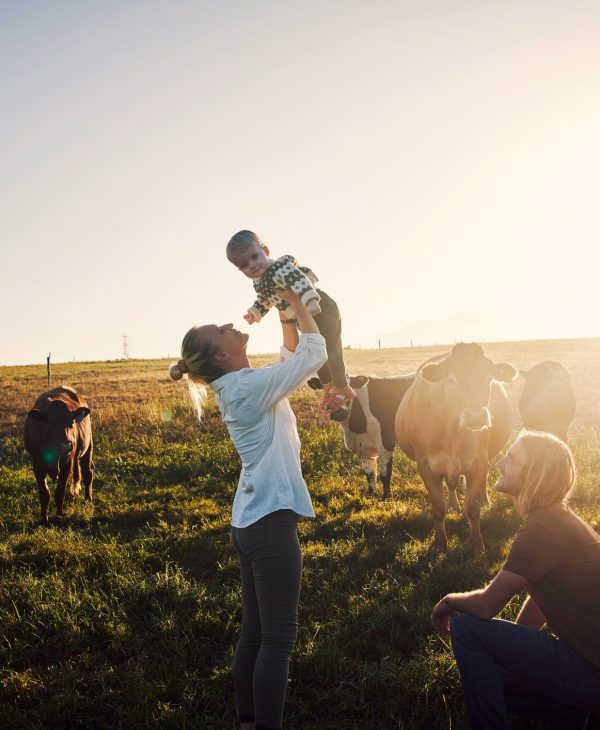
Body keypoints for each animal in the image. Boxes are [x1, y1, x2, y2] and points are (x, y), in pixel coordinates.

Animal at [23, 386, 94, 524]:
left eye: (72, 423)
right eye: (50, 423)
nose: (66, 446)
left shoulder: (67, 465)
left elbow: (59, 492)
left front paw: (59, 516)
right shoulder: (37, 465)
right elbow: (44, 493)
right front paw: (44, 519)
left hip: (88, 448)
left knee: (88, 473)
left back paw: (88, 499)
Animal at [394, 344, 516, 548]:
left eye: (488, 379)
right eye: (451, 380)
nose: (476, 416)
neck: (452, 433)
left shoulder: (478, 461)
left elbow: (473, 508)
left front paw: (477, 545)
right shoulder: (425, 465)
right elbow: (438, 508)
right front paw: (440, 545)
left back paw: (484, 499)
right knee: (451, 486)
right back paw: (453, 504)